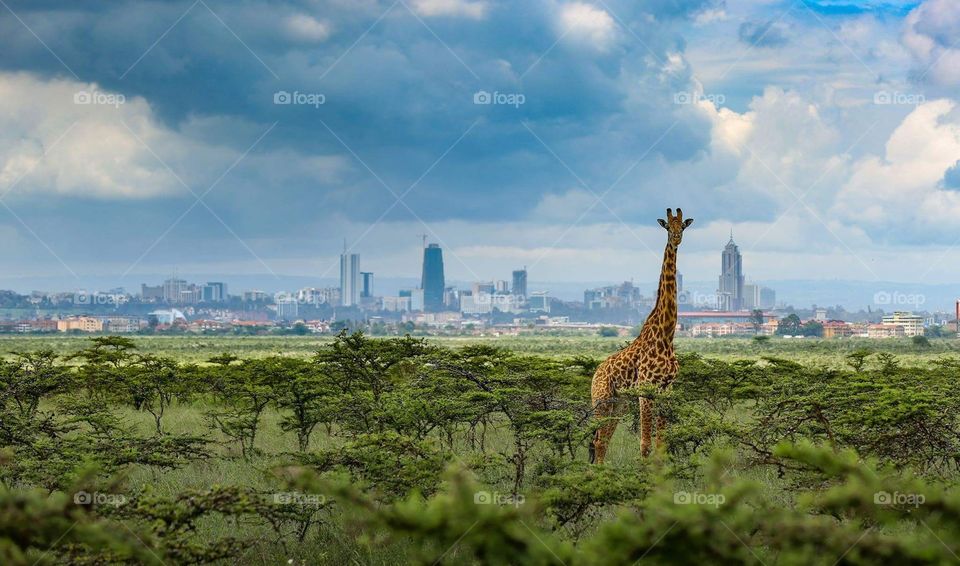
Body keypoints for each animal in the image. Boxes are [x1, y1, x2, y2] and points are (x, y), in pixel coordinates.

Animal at [589, 208, 693, 464]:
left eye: (683, 226)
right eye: (668, 227)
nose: (677, 238)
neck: (666, 335)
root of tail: (595, 374)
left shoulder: (666, 390)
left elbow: (660, 445)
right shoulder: (646, 389)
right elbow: (645, 445)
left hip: (620, 402)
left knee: (603, 441)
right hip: (601, 399)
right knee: (597, 440)